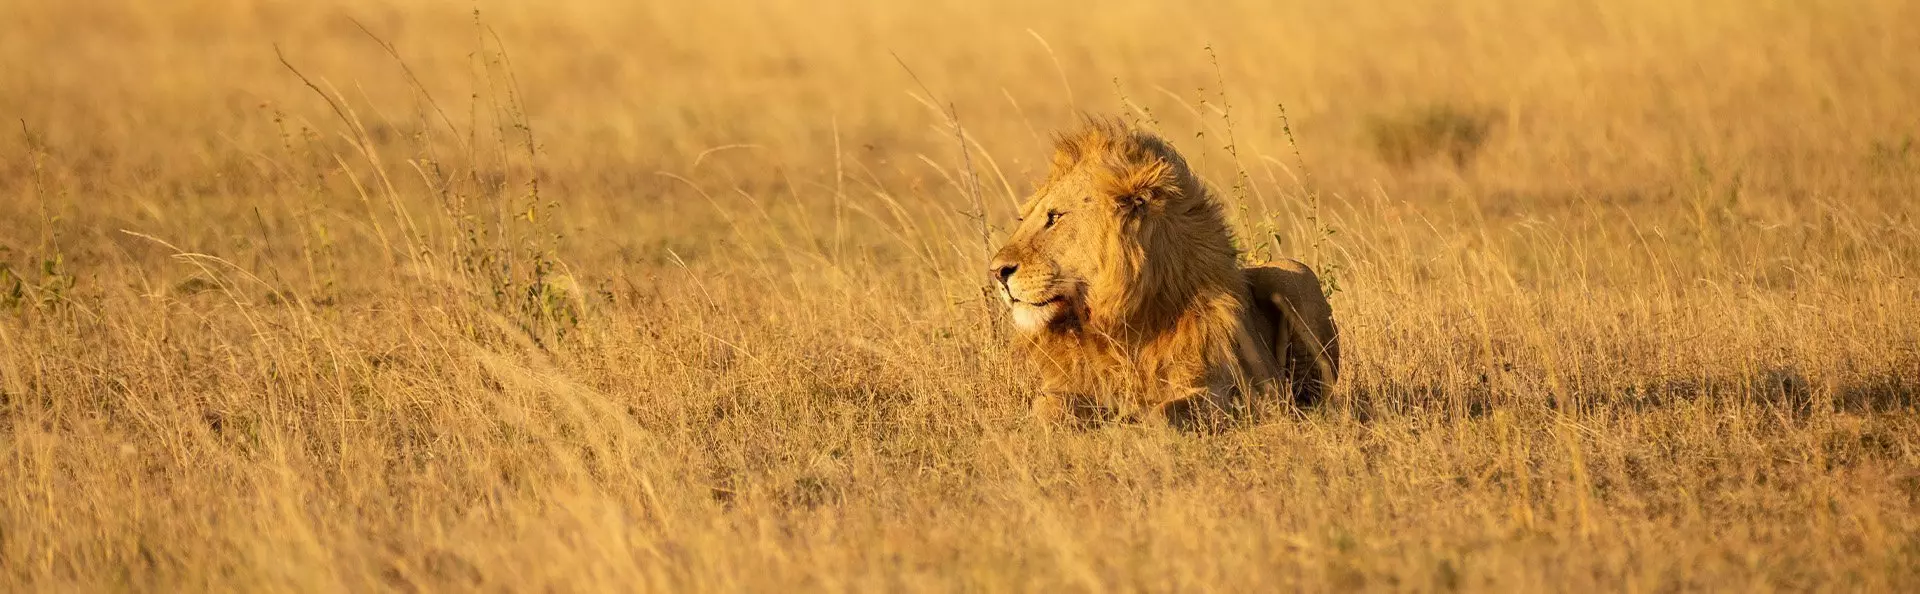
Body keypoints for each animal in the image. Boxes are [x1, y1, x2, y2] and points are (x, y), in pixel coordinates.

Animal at [988, 118, 1340, 429]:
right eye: (1024, 218)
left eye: (1055, 216)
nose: (997, 272)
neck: (1118, 321)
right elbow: (1045, 407)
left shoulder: (1233, 393)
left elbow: (1163, 414)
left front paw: (1135, 423)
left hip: (1294, 274)